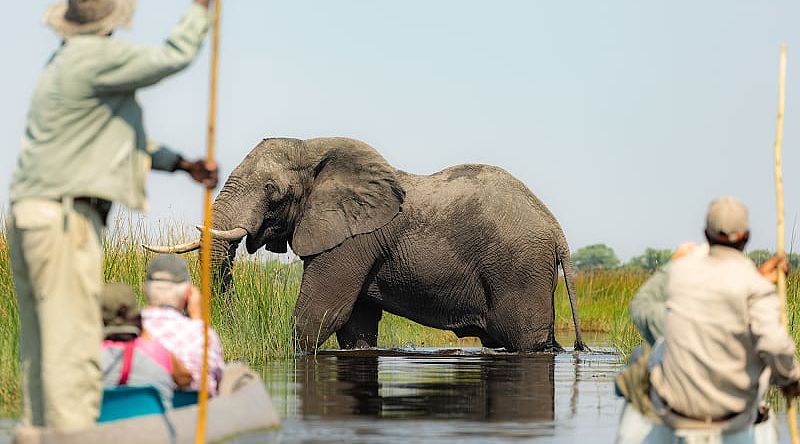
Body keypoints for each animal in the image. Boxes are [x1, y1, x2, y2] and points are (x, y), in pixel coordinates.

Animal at [147, 137, 588, 352]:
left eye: (272, 191)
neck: (315, 149)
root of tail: (557, 231)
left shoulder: (353, 240)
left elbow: (320, 314)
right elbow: (355, 325)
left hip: (519, 268)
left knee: (526, 341)